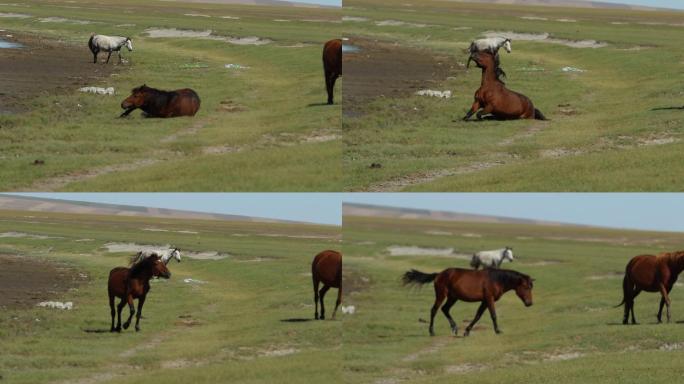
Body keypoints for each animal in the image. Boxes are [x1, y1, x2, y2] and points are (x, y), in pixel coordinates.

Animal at [400, 268, 536, 336]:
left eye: (531, 287)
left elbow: (477, 316)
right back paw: (432, 331)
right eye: (526, 287)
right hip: (441, 295)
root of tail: (439, 274)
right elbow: (493, 315)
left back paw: (454, 328)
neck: (496, 279)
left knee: (445, 309)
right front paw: (498, 331)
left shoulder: (484, 301)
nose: (529, 303)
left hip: (453, 297)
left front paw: (466, 331)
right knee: (434, 310)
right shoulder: (489, 298)